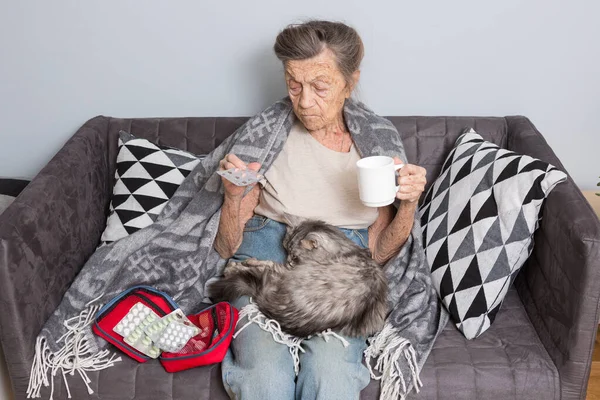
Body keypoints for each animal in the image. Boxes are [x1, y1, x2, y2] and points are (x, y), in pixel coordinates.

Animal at [211, 216, 390, 338]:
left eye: (295, 256)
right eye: (286, 249)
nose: (289, 261)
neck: (345, 250)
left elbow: (263, 264)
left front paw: (242, 264)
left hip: (286, 275)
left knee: (261, 268)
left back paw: (233, 267)